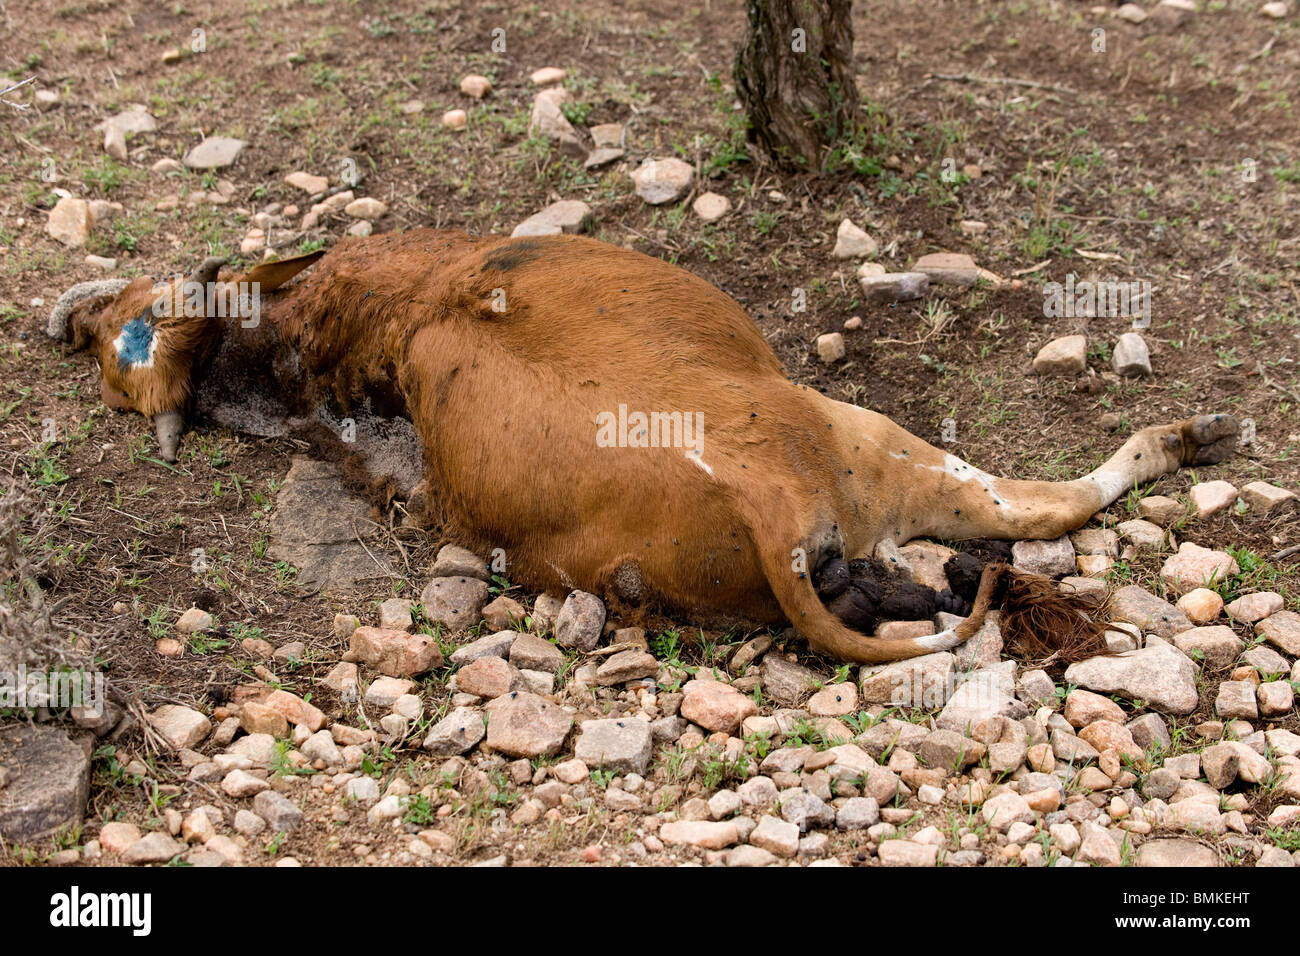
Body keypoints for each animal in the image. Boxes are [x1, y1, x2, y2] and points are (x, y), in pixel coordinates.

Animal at [45, 232, 1232, 665]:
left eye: (128, 327)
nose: (78, 324)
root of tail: (756, 491)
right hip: (876, 438)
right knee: (1052, 505)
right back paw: (1186, 434)